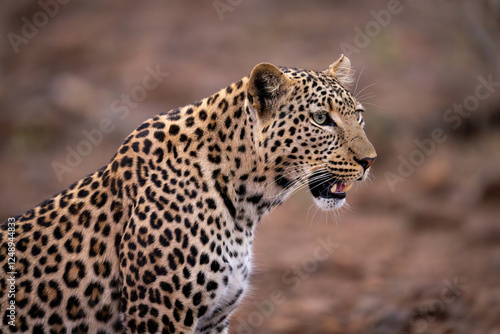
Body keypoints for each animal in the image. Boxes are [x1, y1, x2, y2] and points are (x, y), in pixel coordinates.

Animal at [0, 53, 376, 332]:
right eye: (321, 119)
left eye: (358, 115)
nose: (370, 160)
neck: (246, 204)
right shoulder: (159, 316)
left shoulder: (214, 319)